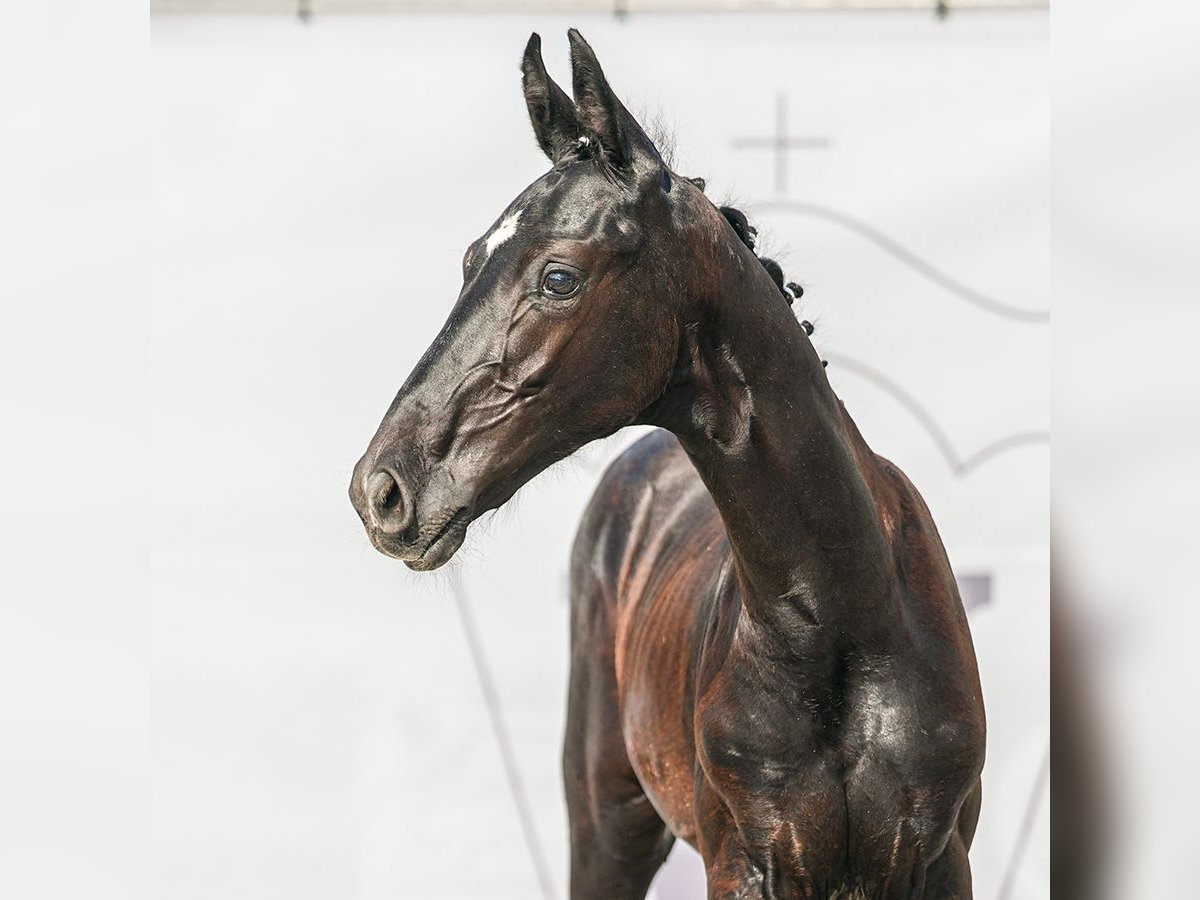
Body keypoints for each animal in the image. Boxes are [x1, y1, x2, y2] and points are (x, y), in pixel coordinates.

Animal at [348, 30, 984, 900]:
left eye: (558, 276)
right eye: (472, 257)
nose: (382, 489)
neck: (845, 622)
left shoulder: (941, 860)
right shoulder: (740, 862)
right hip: (606, 822)